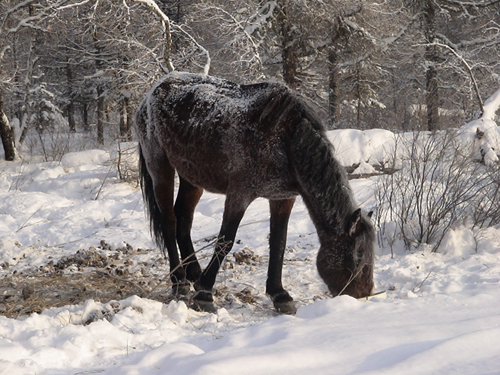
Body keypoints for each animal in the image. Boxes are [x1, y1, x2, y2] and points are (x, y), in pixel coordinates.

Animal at [135, 71, 374, 314]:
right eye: (356, 259)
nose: (363, 295)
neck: (286, 141)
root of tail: (155, 90)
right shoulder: (239, 195)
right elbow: (225, 241)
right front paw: (205, 293)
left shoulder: (283, 198)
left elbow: (278, 242)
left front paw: (279, 294)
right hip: (160, 167)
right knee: (169, 221)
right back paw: (179, 280)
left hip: (192, 178)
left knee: (183, 219)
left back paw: (193, 272)